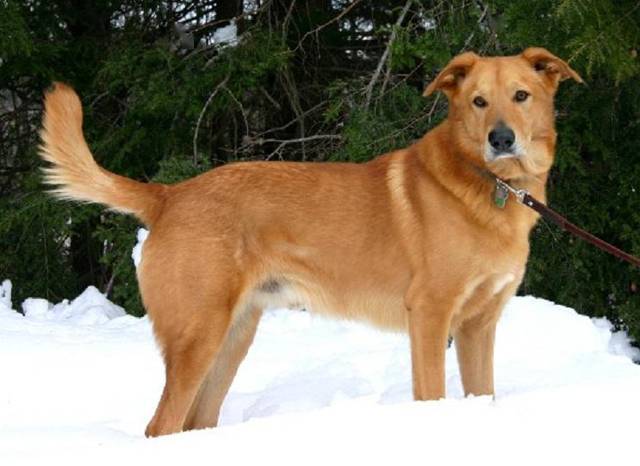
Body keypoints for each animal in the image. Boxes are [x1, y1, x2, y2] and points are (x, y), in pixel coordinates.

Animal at [37, 45, 584, 436]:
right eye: (478, 101)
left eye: (521, 96)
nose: (501, 139)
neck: (493, 187)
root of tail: (170, 195)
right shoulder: (430, 316)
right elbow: (431, 394)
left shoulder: (478, 324)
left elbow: (482, 392)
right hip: (198, 336)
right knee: (160, 426)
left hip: (231, 340)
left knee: (192, 423)